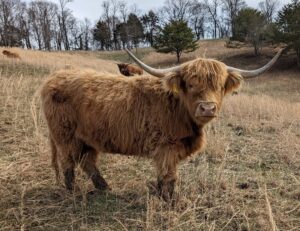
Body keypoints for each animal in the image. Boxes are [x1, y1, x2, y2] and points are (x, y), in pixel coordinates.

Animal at [41, 48, 282, 200]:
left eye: (220, 85)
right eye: (191, 84)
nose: (207, 108)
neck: (179, 108)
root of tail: (54, 77)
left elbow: (164, 177)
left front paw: (160, 195)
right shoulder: (166, 147)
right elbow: (169, 176)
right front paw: (169, 200)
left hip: (87, 138)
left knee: (87, 161)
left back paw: (105, 188)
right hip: (65, 136)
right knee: (69, 163)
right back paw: (73, 192)